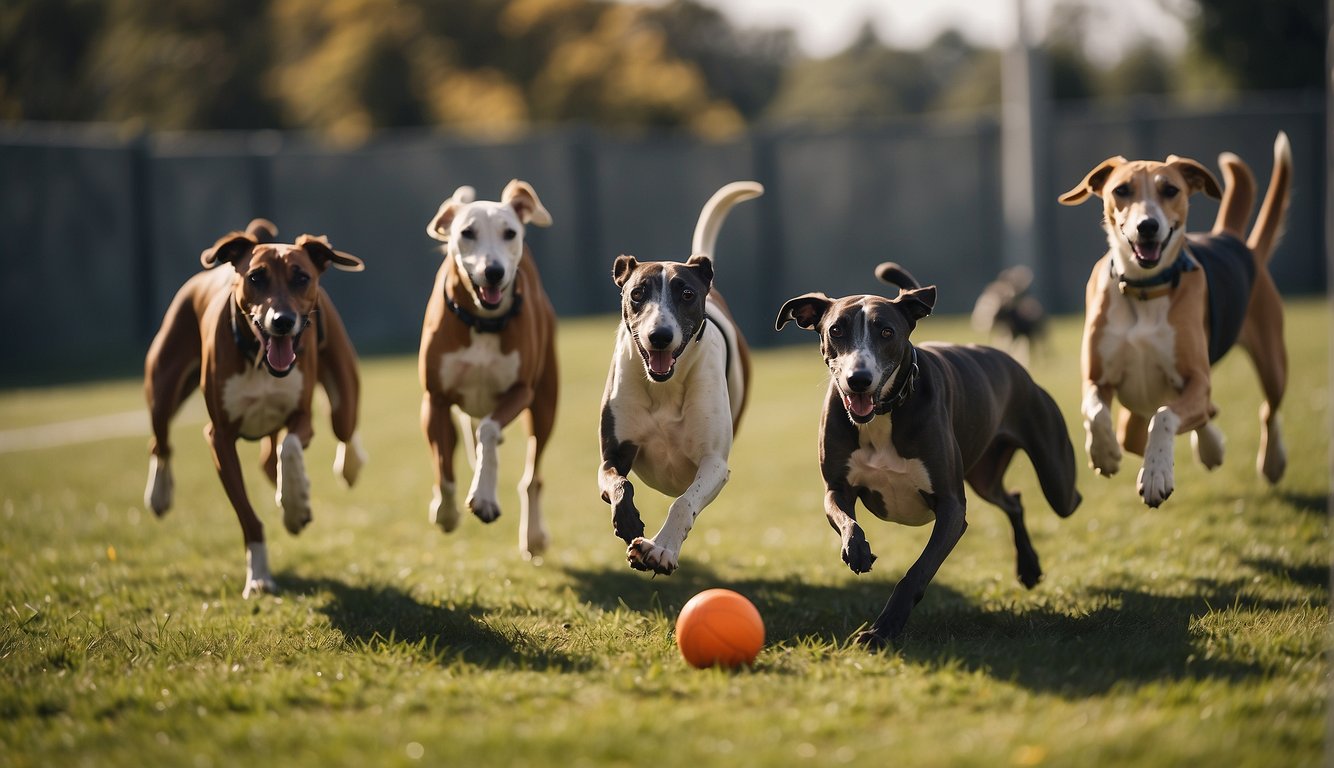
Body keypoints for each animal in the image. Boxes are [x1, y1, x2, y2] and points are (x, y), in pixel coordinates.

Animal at [142, 218, 365, 597]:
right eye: (256, 277)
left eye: (301, 277)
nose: (282, 320)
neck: (260, 360)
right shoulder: (219, 436)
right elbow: (248, 516)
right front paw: (259, 577)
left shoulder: (301, 415)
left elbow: (290, 448)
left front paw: (295, 506)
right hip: (163, 383)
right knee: (160, 440)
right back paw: (159, 494)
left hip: (342, 391)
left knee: (341, 429)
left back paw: (342, 470)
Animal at [421, 178, 557, 557]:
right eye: (467, 232)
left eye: (509, 232)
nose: (493, 271)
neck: (483, 322)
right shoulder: (434, 399)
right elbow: (443, 467)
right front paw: (446, 512)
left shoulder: (521, 391)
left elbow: (489, 431)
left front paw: (483, 498)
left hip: (546, 401)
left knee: (533, 475)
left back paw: (534, 536)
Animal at [597, 181, 763, 576]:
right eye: (637, 293)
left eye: (686, 294)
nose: (659, 335)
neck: (665, 388)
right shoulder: (613, 452)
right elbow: (618, 483)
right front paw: (627, 520)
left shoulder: (715, 464)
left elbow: (684, 502)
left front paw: (661, 548)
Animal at [779, 264, 1077, 648]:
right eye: (835, 330)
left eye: (886, 331)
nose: (858, 379)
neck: (885, 412)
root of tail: (1011, 363)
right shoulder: (837, 488)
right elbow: (846, 520)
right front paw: (857, 550)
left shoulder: (951, 507)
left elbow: (916, 573)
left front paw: (882, 630)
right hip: (986, 476)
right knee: (1013, 499)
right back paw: (1028, 567)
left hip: (1057, 481)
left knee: (1060, 497)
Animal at [1056, 132, 1285, 506]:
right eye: (1122, 190)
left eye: (1171, 190)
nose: (1147, 225)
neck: (1143, 288)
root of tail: (1231, 238)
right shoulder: (1097, 378)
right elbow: (1095, 410)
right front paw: (1103, 454)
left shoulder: (1197, 379)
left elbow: (1165, 417)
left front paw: (1155, 474)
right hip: (1136, 411)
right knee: (1171, 422)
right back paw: (1210, 447)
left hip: (1272, 360)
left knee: (1265, 409)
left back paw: (1270, 461)